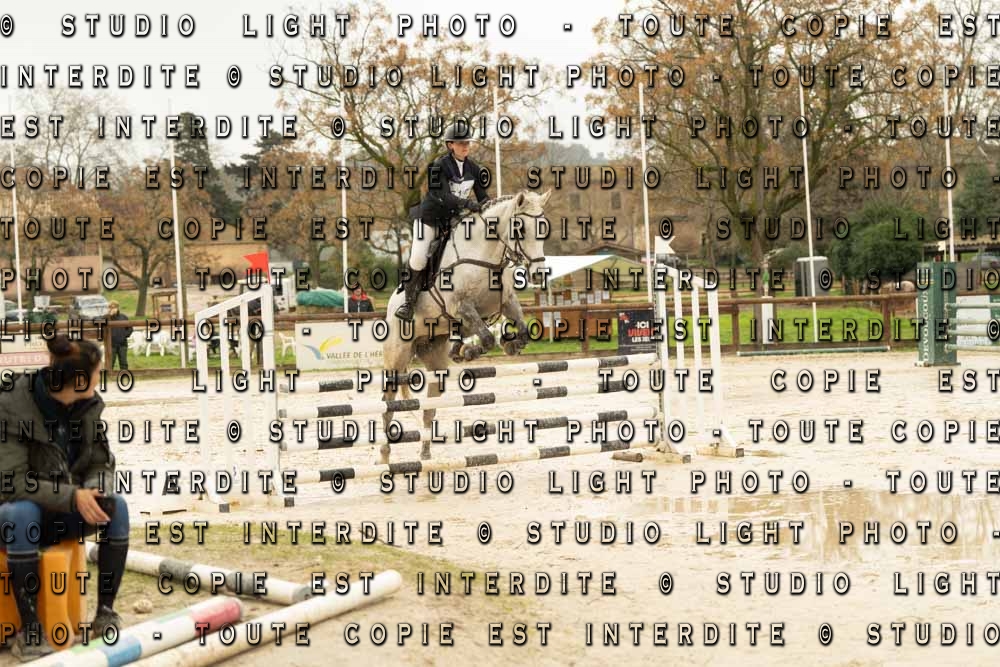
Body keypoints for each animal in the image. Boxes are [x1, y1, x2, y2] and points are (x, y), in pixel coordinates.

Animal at [379, 189, 551, 463]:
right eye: (520, 229)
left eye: (544, 229)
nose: (537, 274)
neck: (485, 254)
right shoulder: (462, 307)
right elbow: (486, 337)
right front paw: (470, 351)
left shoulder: (506, 303)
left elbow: (522, 332)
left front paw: (509, 345)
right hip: (397, 355)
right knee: (388, 403)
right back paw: (384, 456)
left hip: (434, 360)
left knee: (429, 407)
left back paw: (425, 454)